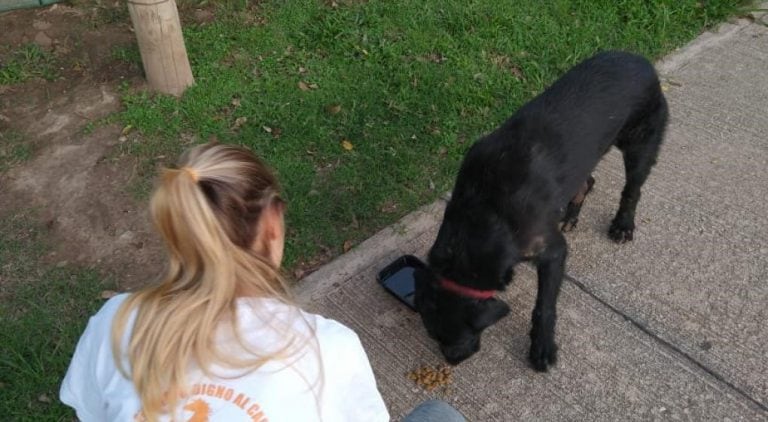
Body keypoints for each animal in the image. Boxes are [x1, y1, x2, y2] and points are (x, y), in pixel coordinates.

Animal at [414, 51, 664, 370]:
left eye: (457, 335)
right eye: (434, 335)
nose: (452, 361)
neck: (481, 214)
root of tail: (641, 60)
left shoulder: (552, 252)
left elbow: (544, 307)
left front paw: (542, 346)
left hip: (640, 144)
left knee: (632, 189)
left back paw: (623, 224)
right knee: (588, 181)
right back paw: (570, 215)